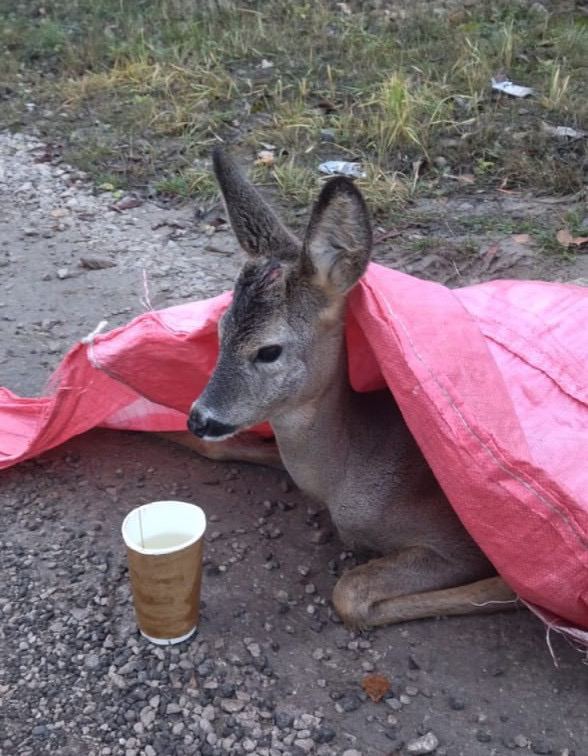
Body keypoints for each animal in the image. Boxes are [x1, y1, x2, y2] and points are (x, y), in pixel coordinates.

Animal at [185, 149, 516, 632]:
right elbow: (222, 447)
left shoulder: (459, 541)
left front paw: (511, 589)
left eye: (269, 350)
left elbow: (350, 594)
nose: (199, 417)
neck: (345, 475)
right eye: (220, 329)